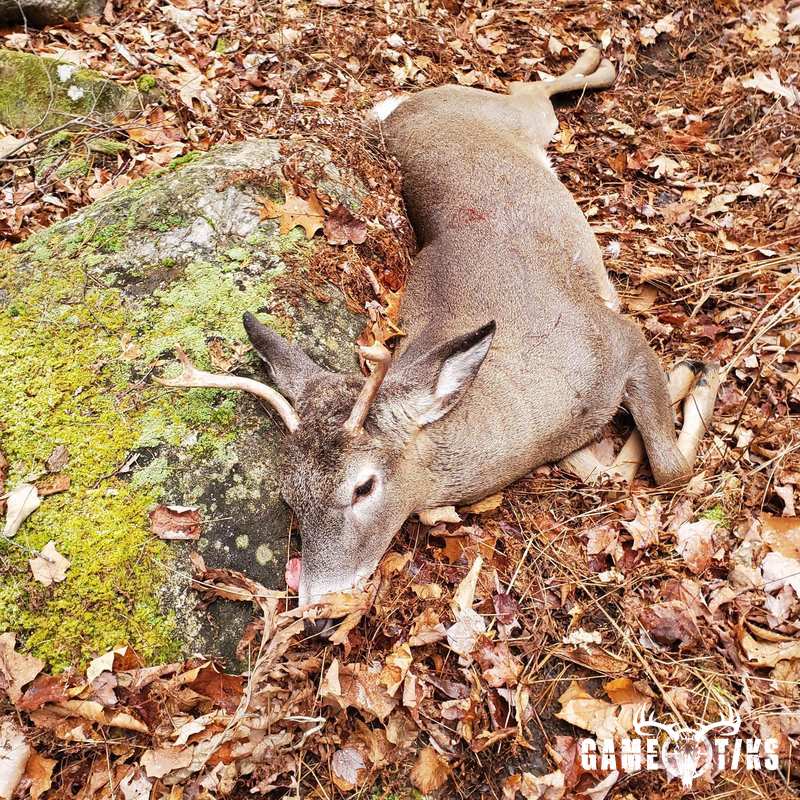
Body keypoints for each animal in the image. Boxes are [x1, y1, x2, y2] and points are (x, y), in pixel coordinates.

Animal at [157, 47, 720, 634]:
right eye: (290, 496)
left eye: (363, 486)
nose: (315, 609)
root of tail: (404, 107)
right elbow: (612, 475)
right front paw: (681, 388)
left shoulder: (617, 336)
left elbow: (673, 471)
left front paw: (701, 374)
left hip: (523, 118)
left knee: (534, 87)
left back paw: (601, 61)